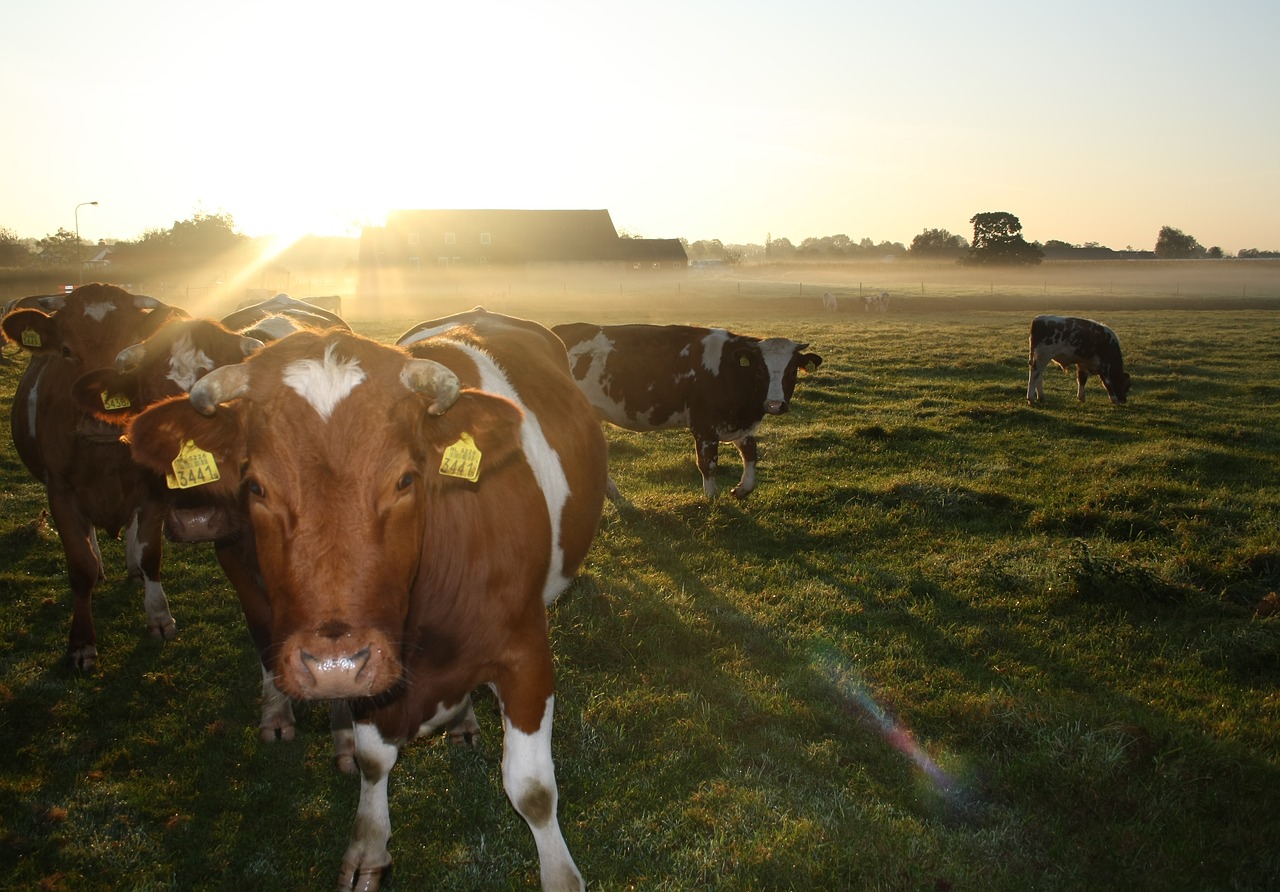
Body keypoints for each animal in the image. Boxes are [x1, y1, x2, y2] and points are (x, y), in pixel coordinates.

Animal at [0, 281, 188, 665]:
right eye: (66, 350)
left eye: (133, 349)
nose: (102, 423)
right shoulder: (59, 492)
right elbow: (80, 565)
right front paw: (82, 643)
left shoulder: (154, 488)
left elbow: (150, 553)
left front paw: (160, 618)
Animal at [124, 308, 604, 890]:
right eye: (255, 486)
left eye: (406, 478)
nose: (332, 665)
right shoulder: (371, 678)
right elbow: (375, 762)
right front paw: (369, 847)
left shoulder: (526, 652)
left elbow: (531, 789)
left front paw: (560, 872)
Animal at [550, 321, 819, 501]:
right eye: (760, 371)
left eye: (792, 371)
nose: (775, 404)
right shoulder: (704, 425)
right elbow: (708, 463)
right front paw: (711, 500)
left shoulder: (739, 424)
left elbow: (751, 454)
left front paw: (743, 488)